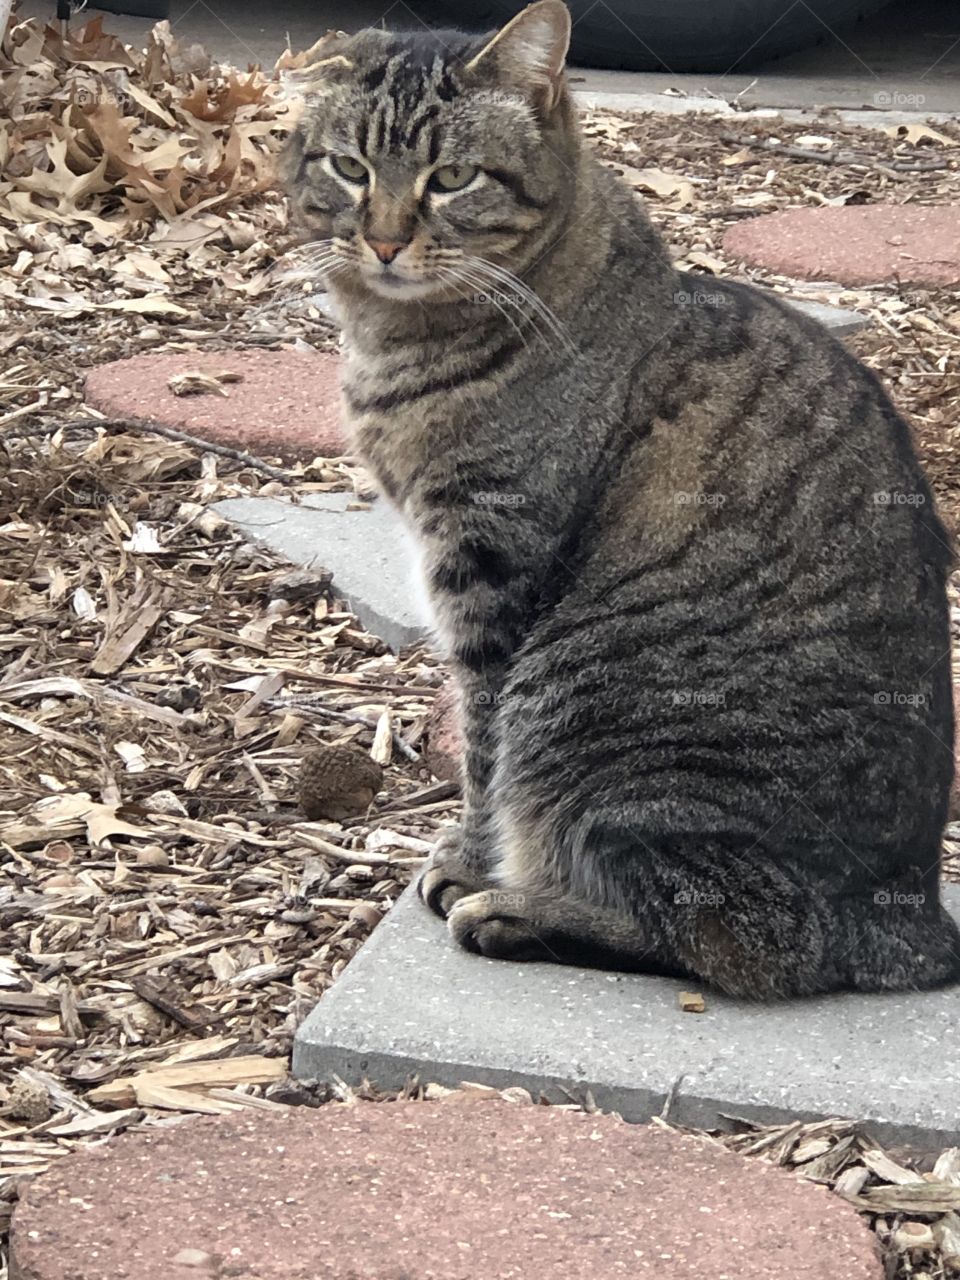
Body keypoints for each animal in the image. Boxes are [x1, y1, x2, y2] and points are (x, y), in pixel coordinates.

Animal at [284, 0, 960, 998]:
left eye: (452, 178)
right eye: (349, 168)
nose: (384, 239)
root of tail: (907, 917)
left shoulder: (490, 573)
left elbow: (482, 751)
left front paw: (474, 862)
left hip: (594, 720)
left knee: (741, 937)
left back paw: (516, 910)